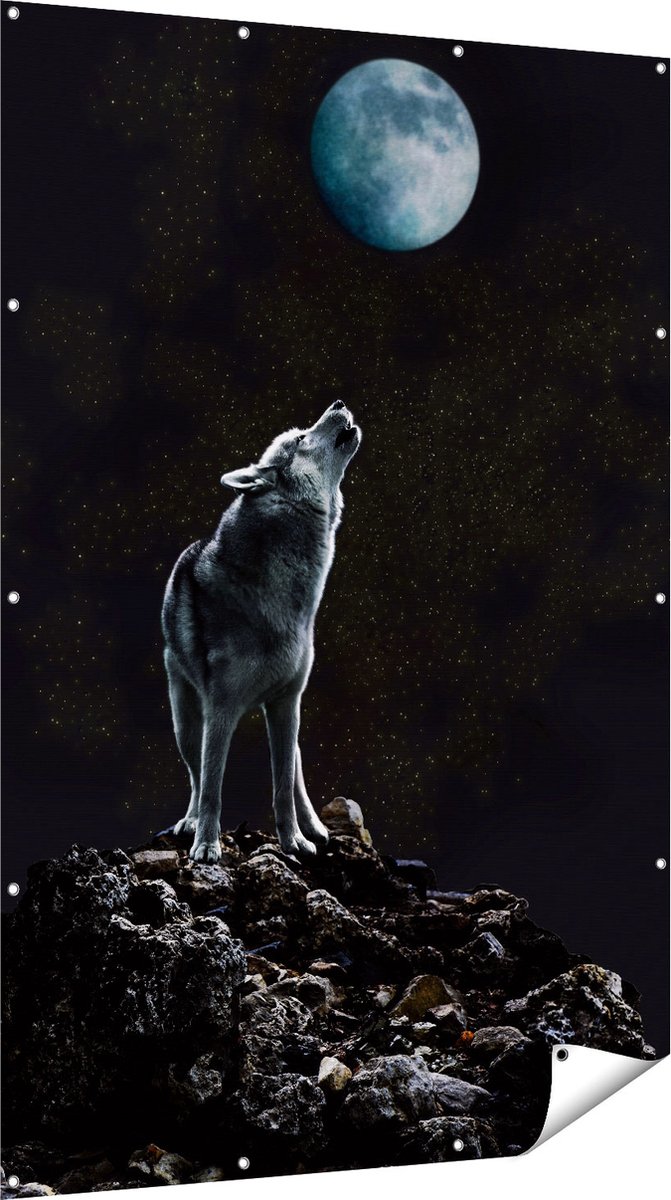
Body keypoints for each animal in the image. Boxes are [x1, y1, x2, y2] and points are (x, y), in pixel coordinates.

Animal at [161, 400, 361, 863]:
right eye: (301, 438)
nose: (339, 403)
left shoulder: (287, 703)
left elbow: (283, 786)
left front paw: (295, 842)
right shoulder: (220, 711)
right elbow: (212, 786)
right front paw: (207, 845)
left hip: (287, 718)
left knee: (297, 774)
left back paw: (316, 827)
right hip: (186, 722)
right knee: (195, 776)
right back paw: (191, 822)